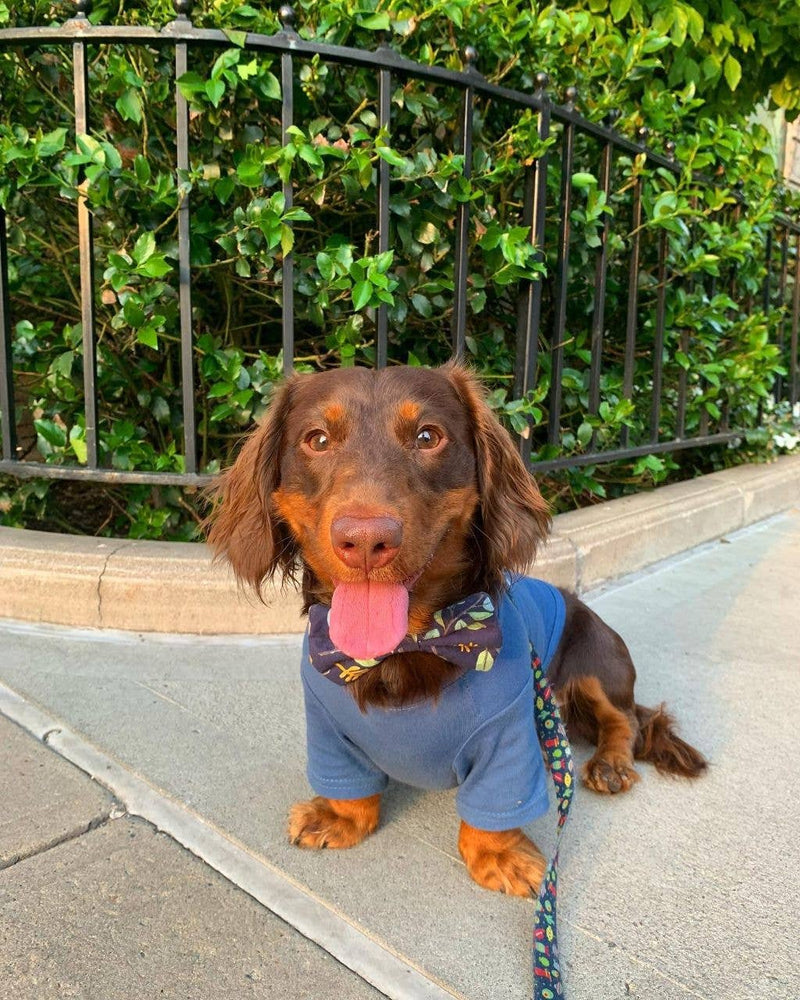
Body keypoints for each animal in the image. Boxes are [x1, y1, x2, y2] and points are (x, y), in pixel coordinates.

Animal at [208, 362, 708, 900]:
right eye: (316, 439)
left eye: (429, 436)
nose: (365, 542)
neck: (405, 647)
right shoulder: (327, 730)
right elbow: (349, 787)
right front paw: (339, 817)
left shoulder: (508, 740)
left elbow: (494, 809)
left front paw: (499, 855)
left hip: (596, 659)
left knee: (626, 721)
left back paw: (612, 764)